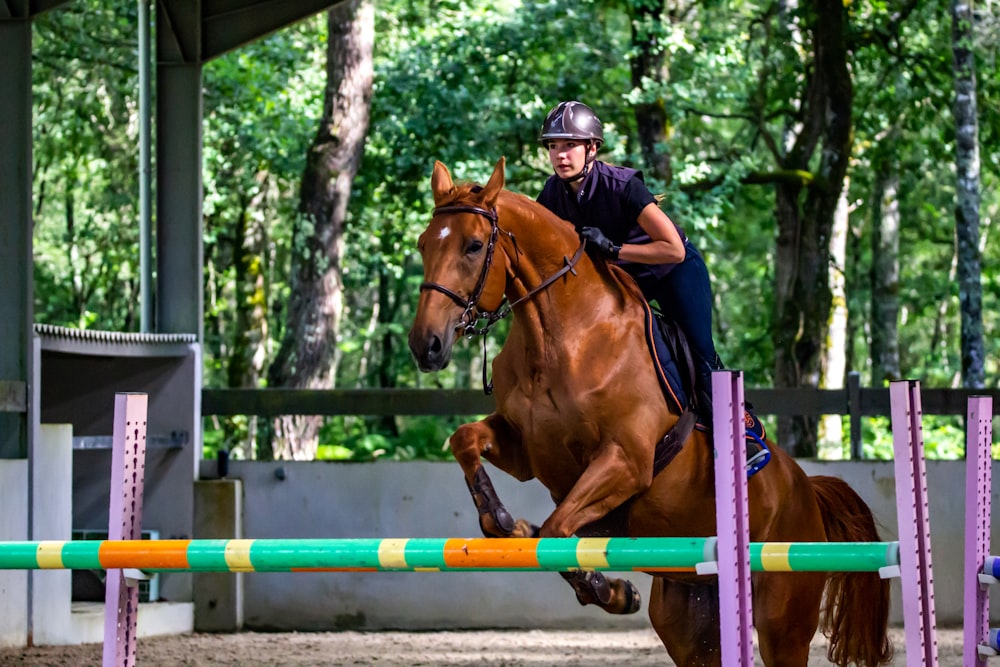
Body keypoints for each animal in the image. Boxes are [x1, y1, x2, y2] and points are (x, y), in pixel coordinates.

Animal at [406, 158, 892, 667]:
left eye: (474, 245)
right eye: (423, 243)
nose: (426, 345)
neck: (561, 338)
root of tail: (806, 489)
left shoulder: (627, 460)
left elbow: (557, 531)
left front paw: (610, 590)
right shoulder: (528, 451)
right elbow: (466, 441)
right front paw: (503, 520)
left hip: (784, 622)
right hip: (690, 618)